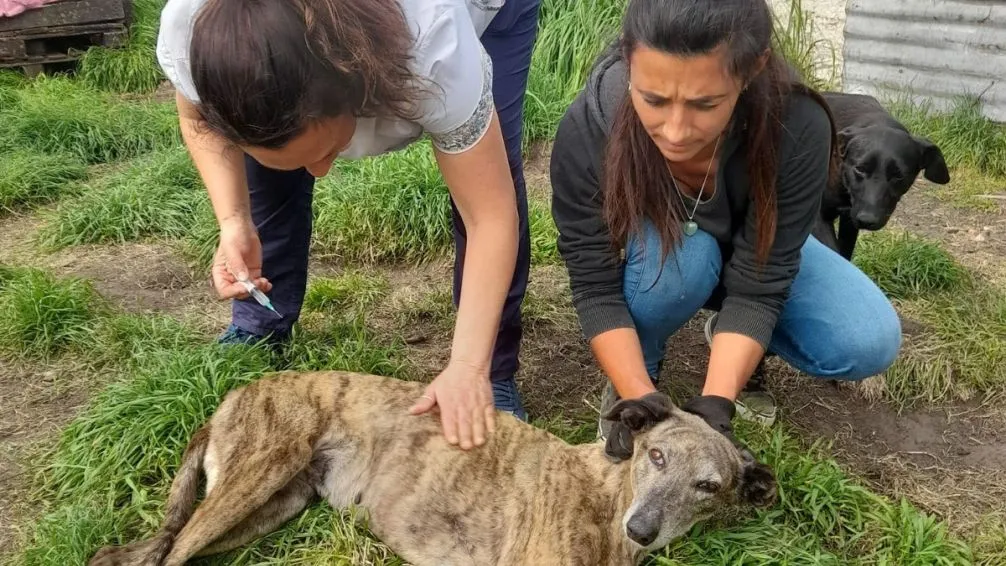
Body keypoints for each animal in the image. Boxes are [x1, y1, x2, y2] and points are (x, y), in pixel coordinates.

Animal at [88, 371, 776, 566]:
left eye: (709, 487)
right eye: (655, 455)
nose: (643, 530)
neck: (606, 499)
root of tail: (232, 396)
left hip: (269, 506)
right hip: (256, 478)